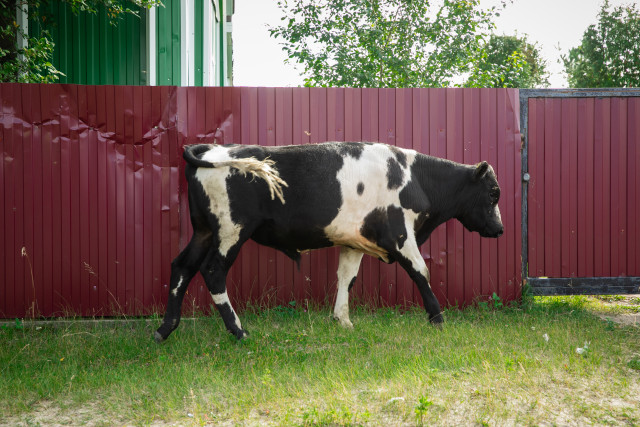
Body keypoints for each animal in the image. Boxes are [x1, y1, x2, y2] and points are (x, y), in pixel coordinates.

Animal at [155, 141, 503, 342]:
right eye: (493, 193)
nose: (500, 229)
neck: (414, 177)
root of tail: (214, 150)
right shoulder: (400, 234)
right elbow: (421, 272)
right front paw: (438, 320)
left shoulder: (353, 241)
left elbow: (346, 278)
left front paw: (342, 320)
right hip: (231, 230)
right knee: (213, 271)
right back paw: (239, 332)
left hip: (203, 230)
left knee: (181, 266)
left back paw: (165, 329)